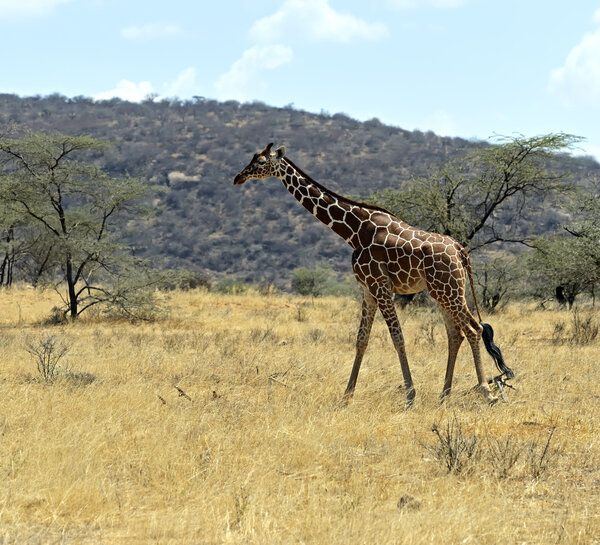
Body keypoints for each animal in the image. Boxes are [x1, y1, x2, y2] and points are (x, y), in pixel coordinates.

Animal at [232, 142, 512, 406]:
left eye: (260, 161)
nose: (238, 177)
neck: (354, 231)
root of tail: (460, 250)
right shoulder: (366, 289)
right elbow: (361, 340)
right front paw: (347, 397)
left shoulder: (379, 285)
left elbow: (397, 337)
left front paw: (410, 396)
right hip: (443, 291)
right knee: (456, 333)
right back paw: (444, 396)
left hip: (449, 290)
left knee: (474, 329)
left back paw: (486, 393)